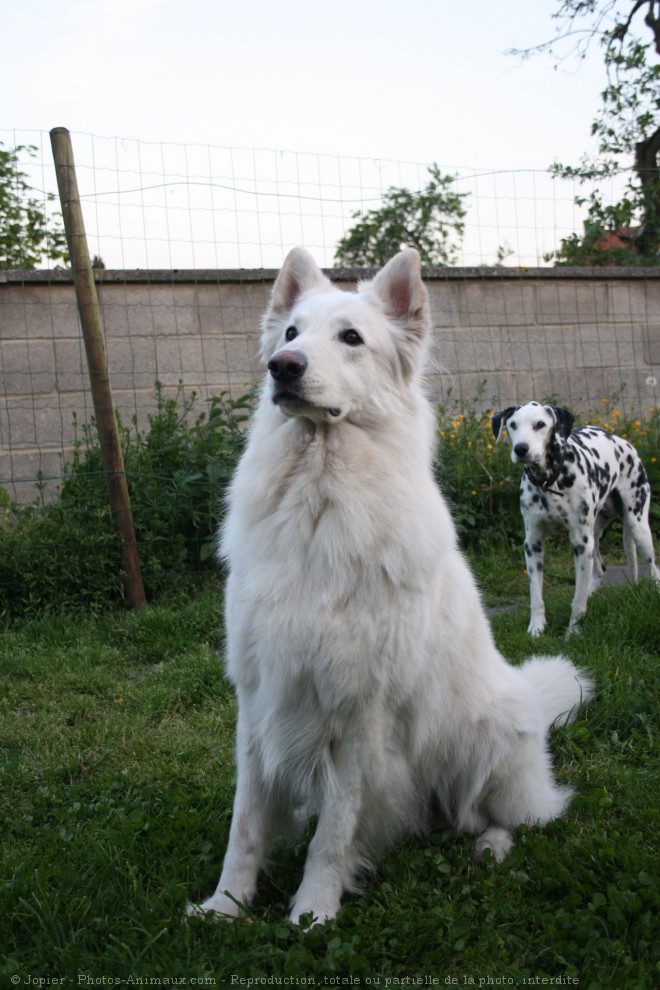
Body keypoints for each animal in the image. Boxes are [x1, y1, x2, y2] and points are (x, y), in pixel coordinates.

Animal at [189, 248, 592, 928]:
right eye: (291, 333)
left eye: (351, 338)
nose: (282, 366)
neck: (319, 498)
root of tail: (531, 703)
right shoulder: (260, 694)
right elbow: (245, 824)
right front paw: (226, 905)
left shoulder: (360, 710)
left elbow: (333, 833)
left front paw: (312, 913)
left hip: (487, 746)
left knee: (504, 817)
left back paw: (489, 846)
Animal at [492, 404, 656, 644]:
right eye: (512, 425)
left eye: (540, 424)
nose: (521, 449)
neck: (549, 482)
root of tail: (621, 441)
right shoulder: (533, 546)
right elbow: (536, 596)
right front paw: (536, 629)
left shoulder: (580, 544)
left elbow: (577, 602)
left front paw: (573, 632)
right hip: (594, 537)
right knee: (599, 568)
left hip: (637, 527)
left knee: (653, 568)